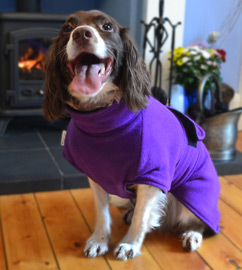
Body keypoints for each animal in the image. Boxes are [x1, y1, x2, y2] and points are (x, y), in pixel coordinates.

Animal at [42, 9, 220, 260]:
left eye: (107, 27)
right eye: (68, 28)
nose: (81, 34)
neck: (103, 117)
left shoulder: (152, 176)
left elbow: (142, 217)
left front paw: (130, 245)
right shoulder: (97, 175)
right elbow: (102, 212)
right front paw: (99, 240)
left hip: (191, 195)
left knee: (201, 222)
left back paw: (192, 234)